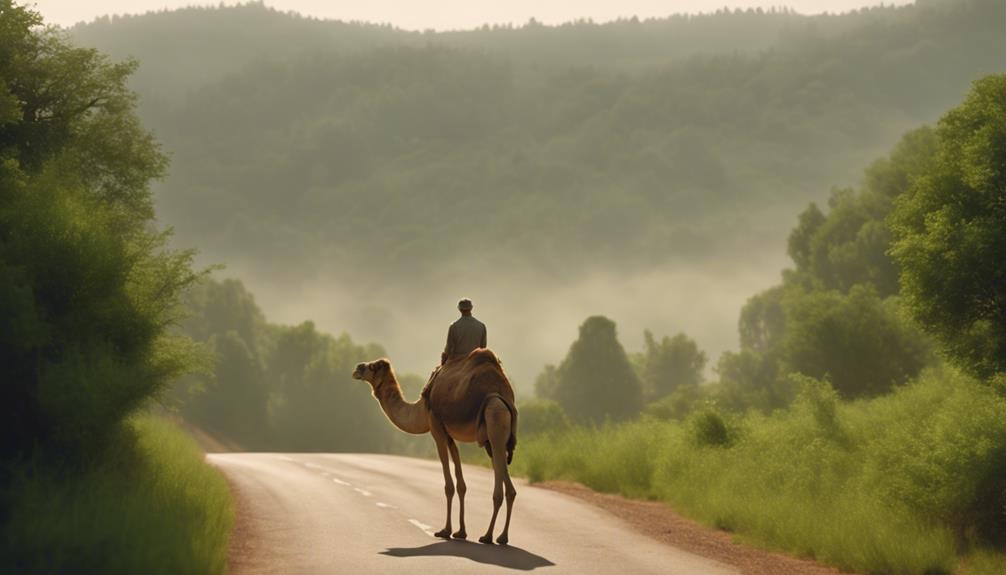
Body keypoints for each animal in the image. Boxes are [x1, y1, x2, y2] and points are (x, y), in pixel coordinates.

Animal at [354, 349, 519, 542]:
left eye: (372, 366)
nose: (357, 368)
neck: (421, 408)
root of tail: (504, 396)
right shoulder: (449, 435)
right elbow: (461, 484)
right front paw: (461, 532)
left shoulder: (436, 426)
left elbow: (449, 485)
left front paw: (445, 530)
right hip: (492, 439)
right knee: (509, 485)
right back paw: (502, 536)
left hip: (494, 419)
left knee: (499, 482)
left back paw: (487, 536)